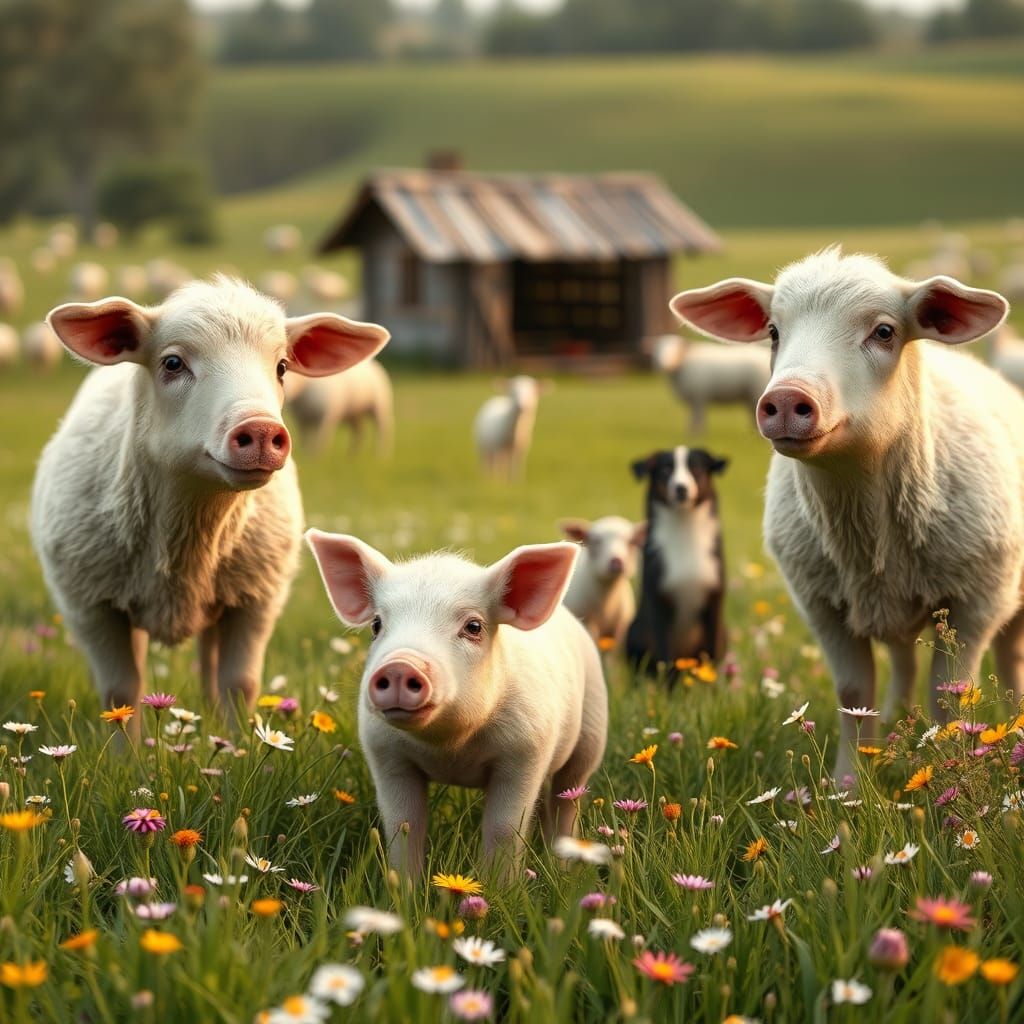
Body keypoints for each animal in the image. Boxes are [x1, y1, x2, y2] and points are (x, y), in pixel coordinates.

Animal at [31, 277, 389, 717]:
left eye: (282, 367)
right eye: (172, 363)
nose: (261, 431)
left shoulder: (256, 600)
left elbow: (240, 684)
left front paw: (237, 736)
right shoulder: (90, 606)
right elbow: (121, 692)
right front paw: (124, 738)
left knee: (210, 669)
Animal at [305, 531, 608, 877]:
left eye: (473, 627)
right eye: (377, 625)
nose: (399, 665)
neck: (450, 750)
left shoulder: (527, 750)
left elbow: (504, 827)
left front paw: (498, 887)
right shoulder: (384, 752)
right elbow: (403, 824)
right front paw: (405, 887)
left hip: (592, 734)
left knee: (568, 797)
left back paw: (563, 867)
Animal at [670, 247, 1022, 783]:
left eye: (885, 332)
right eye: (772, 331)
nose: (786, 400)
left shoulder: (976, 602)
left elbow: (950, 700)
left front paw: (955, 782)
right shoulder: (822, 605)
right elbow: (854, 695)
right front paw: (849, 788)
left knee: (1011, 658)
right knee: (904, 660)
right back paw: (898, 723)